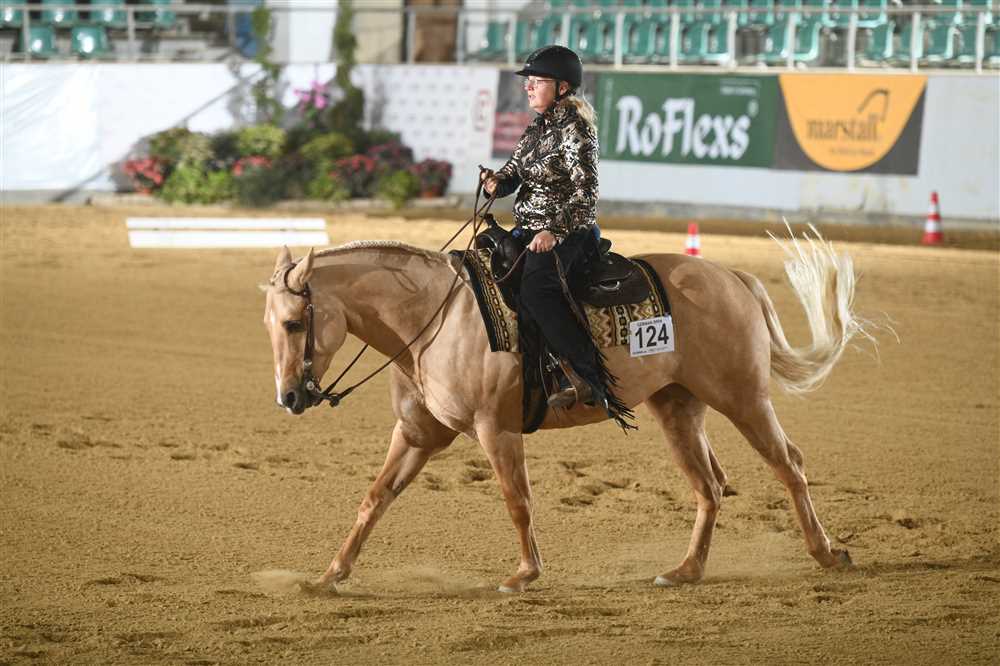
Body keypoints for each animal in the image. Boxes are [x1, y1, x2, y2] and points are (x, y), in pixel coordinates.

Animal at [262, 229, 875, 593]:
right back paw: (686, 571)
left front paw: (524, 574)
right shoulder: (418, 432)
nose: (289, 398)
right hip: (678, 408)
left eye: (293, 323)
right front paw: (328, 577)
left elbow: (517, 500)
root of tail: (732, 278)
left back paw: (826, 554)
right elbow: (374, 499)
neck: (434, 316)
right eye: (268, 324)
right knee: (711, 485)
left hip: (743, 397)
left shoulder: (496, 429)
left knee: (788, 464)